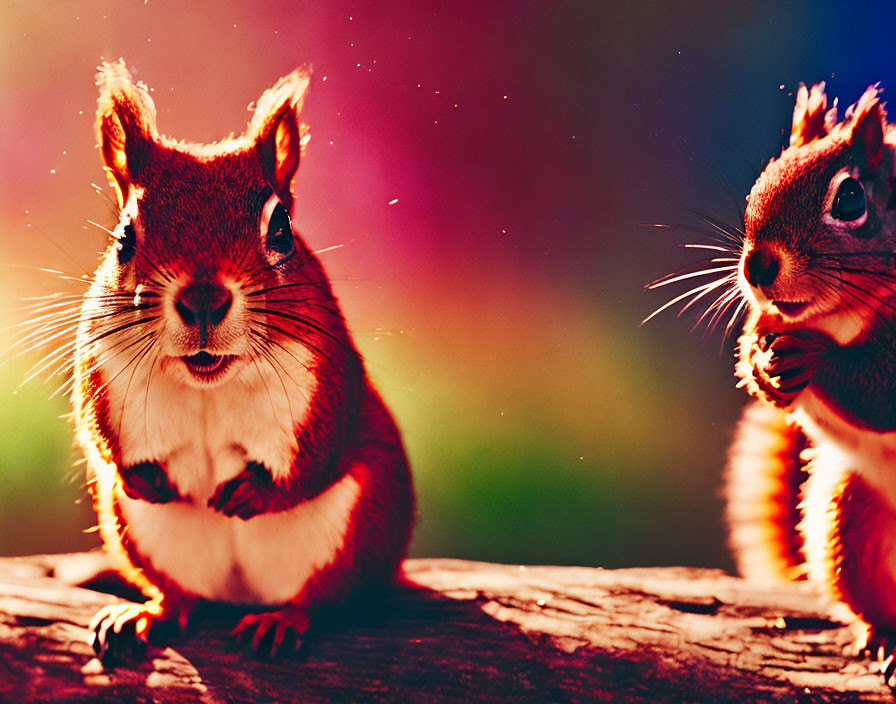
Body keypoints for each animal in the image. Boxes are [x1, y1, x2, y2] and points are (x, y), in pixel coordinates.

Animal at [75, 60, 414, 660]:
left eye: (281, 231)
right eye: (124, 238)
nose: (203, 299)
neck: (209, 381)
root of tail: (242, 594)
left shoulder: (331, 377)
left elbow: (318, 455)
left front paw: (257, 491)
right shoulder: (97, 364)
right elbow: (98, 435)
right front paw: (141, 478)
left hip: (358, 533)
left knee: (326, 598)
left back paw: (283, 620)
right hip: (141, 536)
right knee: (182, 598)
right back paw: (146, 614)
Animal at [712, 82, 896, 676]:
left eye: (851, 200)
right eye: (761, 182)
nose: (757, 267)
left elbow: (875, 390)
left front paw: (812, 356)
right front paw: (756, 358)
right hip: (849, 522)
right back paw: (886, 637)